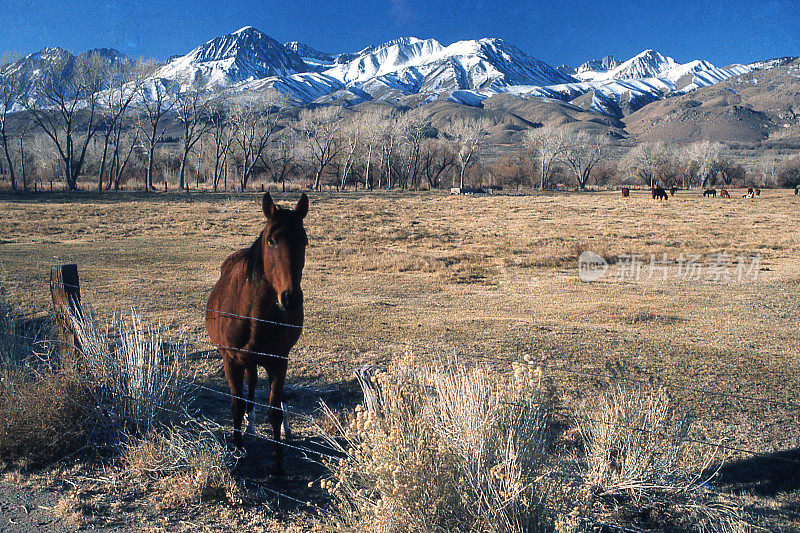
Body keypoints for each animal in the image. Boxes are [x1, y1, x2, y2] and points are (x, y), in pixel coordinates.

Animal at [206, 192, 310, 474]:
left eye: (304, 241)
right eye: (271, 240)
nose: (291, 298)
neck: (253, 313)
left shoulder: (279, 361)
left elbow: (275, 409)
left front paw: (278, 461)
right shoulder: (230, 360)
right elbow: (236, 403)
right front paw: (238, 451)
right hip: (245, 361)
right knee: (250, 386)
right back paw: (249, 427)